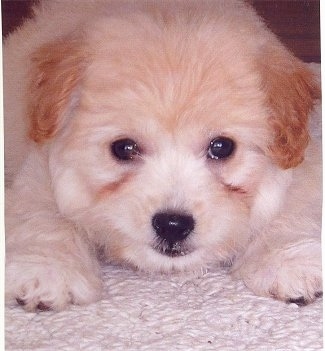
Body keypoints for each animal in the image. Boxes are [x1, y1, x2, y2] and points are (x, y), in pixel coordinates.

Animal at [3, 0, 320, 314]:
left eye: (221, 147)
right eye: (124, 148)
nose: (173, 225)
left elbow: (293, 207)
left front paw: (289, 262)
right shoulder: (38, 171)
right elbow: (43, 217)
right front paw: (45, 271)